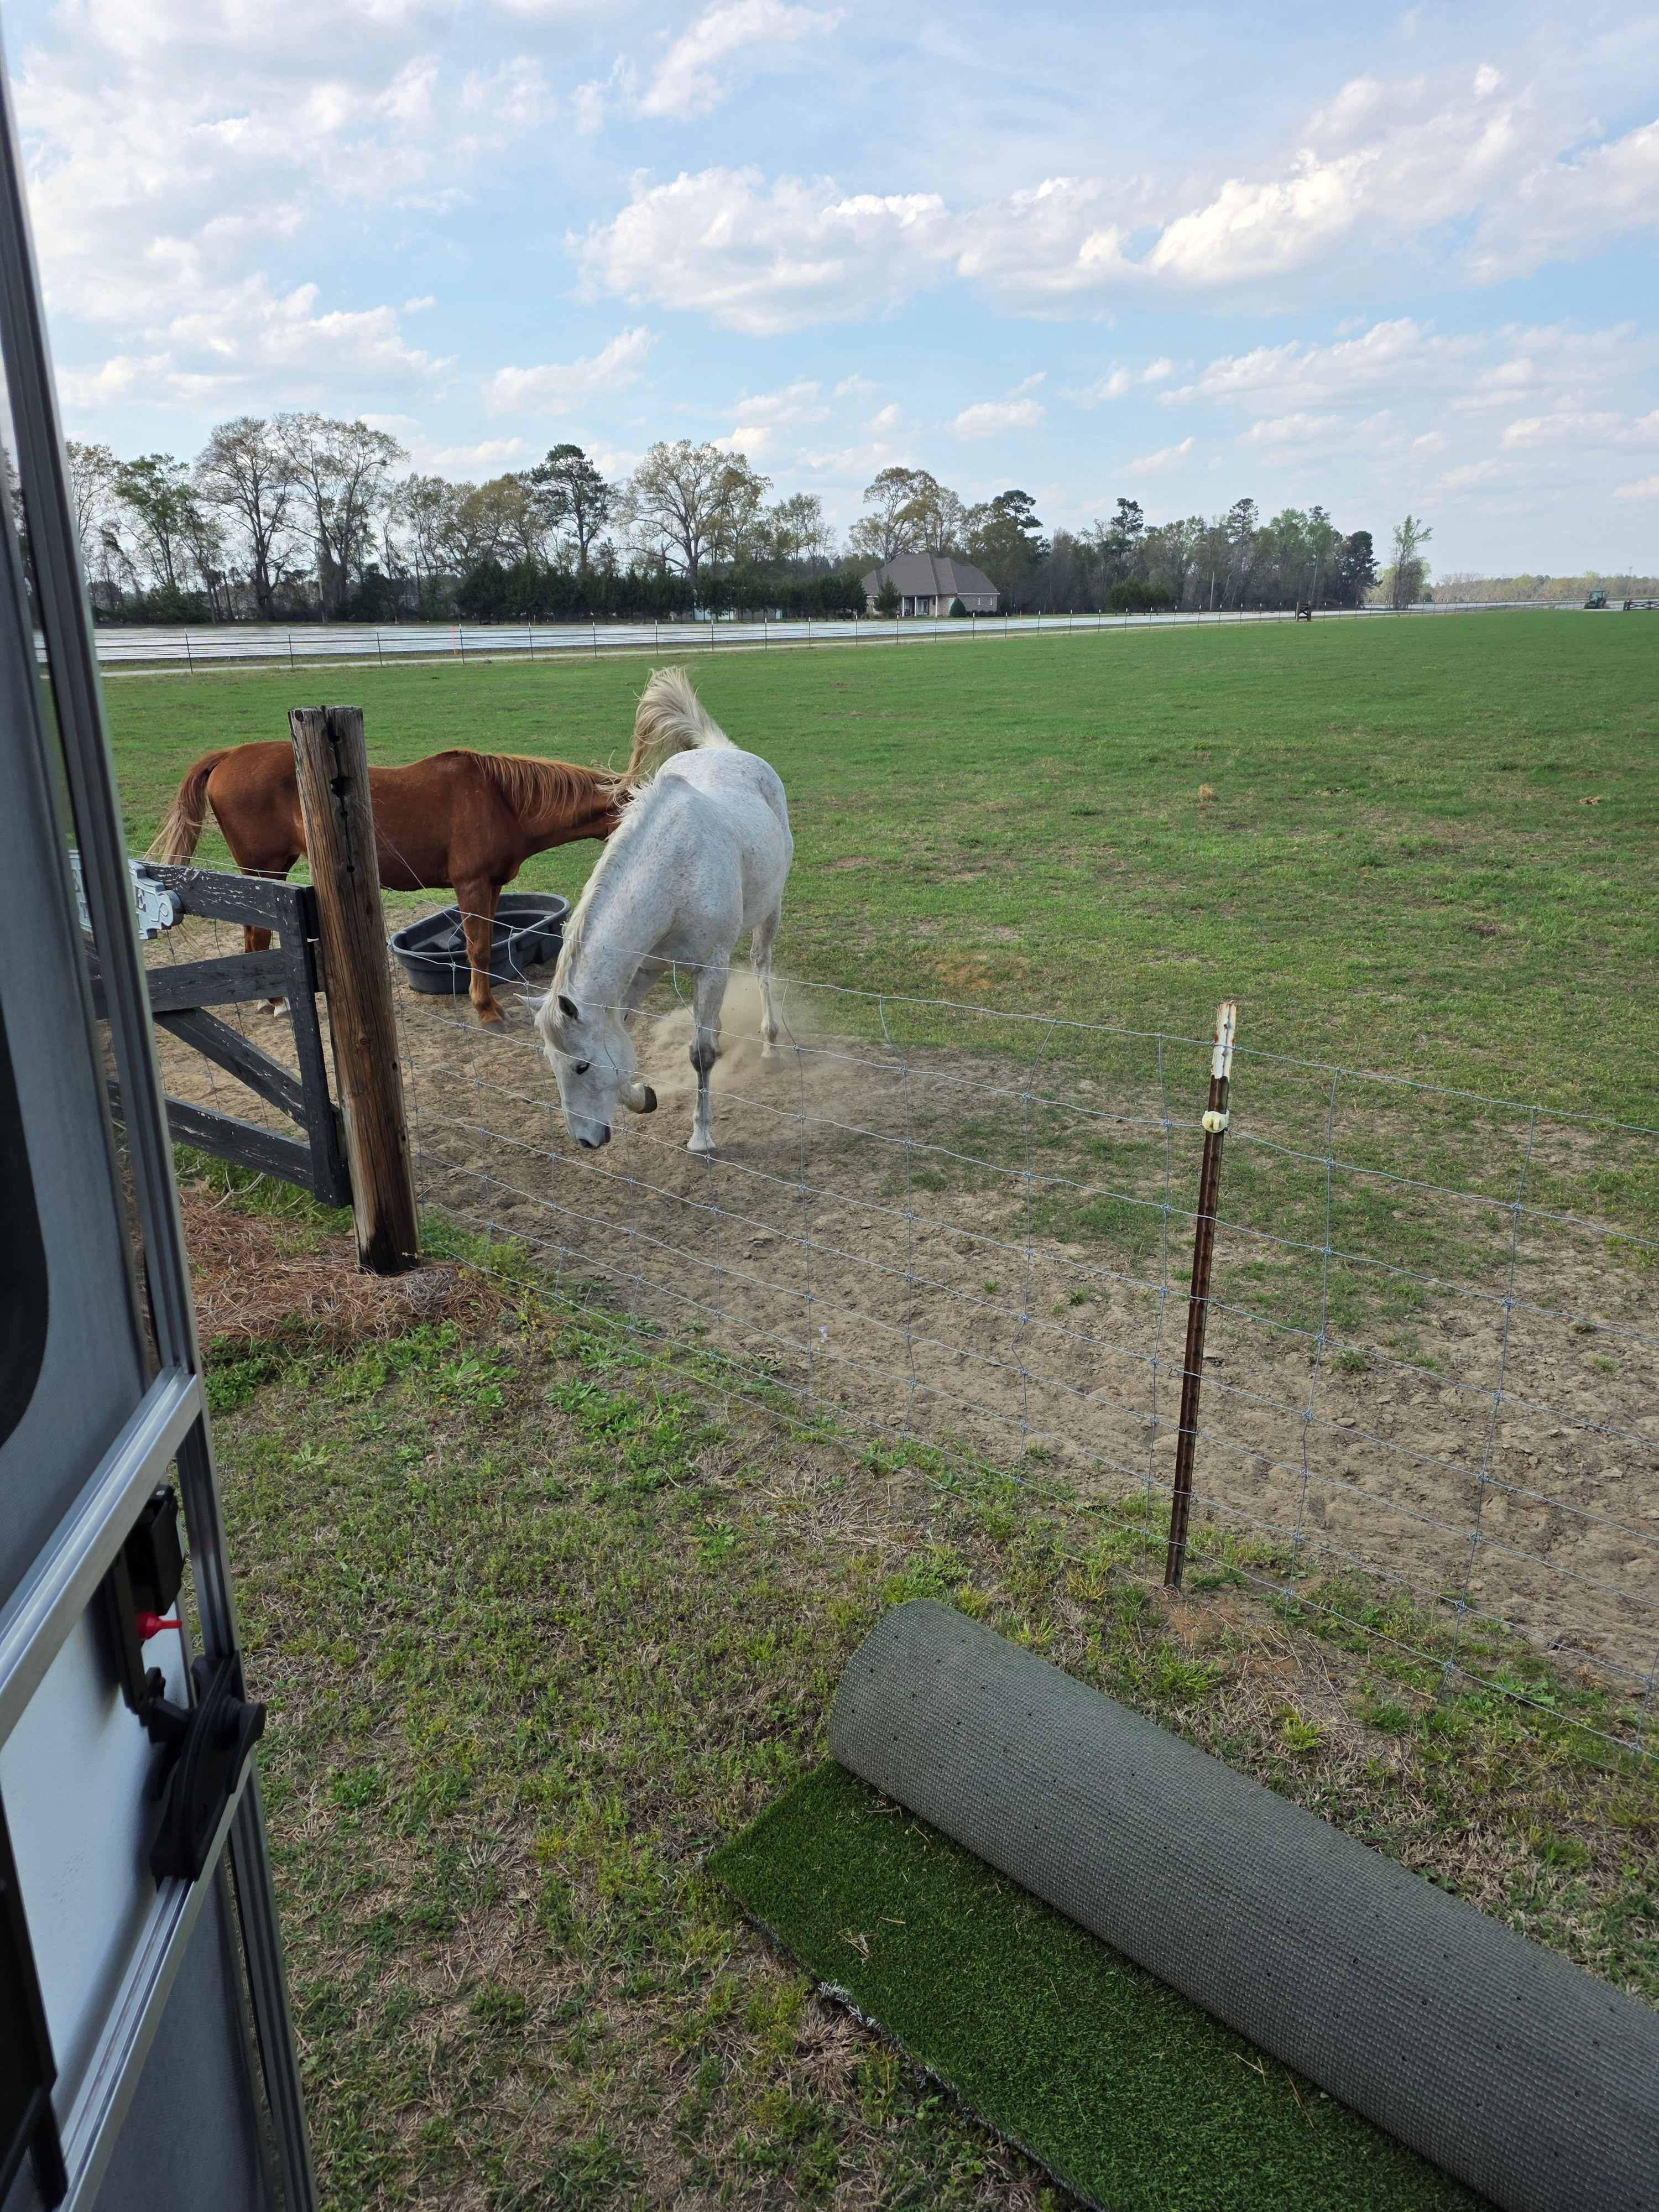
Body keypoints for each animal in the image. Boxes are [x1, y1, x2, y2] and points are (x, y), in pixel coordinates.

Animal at [150, 735, 648, 1022]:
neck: (503, 800)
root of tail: (229, 757)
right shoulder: (471, 884)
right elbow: (477, 948)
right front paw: (486, 1009)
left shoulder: (492, 886)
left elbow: (486, 944)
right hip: (263, 867)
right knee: (256, 934)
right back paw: (275, 1002)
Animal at [535, 666, 791, 1156]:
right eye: (552, 1065)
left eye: (580, 1066)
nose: (585, 1141)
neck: (675, 873)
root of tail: (724, 750)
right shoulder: (645, 968)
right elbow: (624, 1030)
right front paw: (641, 1097)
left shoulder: (710, 969)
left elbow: (700, 1056)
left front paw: (702, 1136)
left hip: (771, 909)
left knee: (762, 964)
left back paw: (771, 1045)